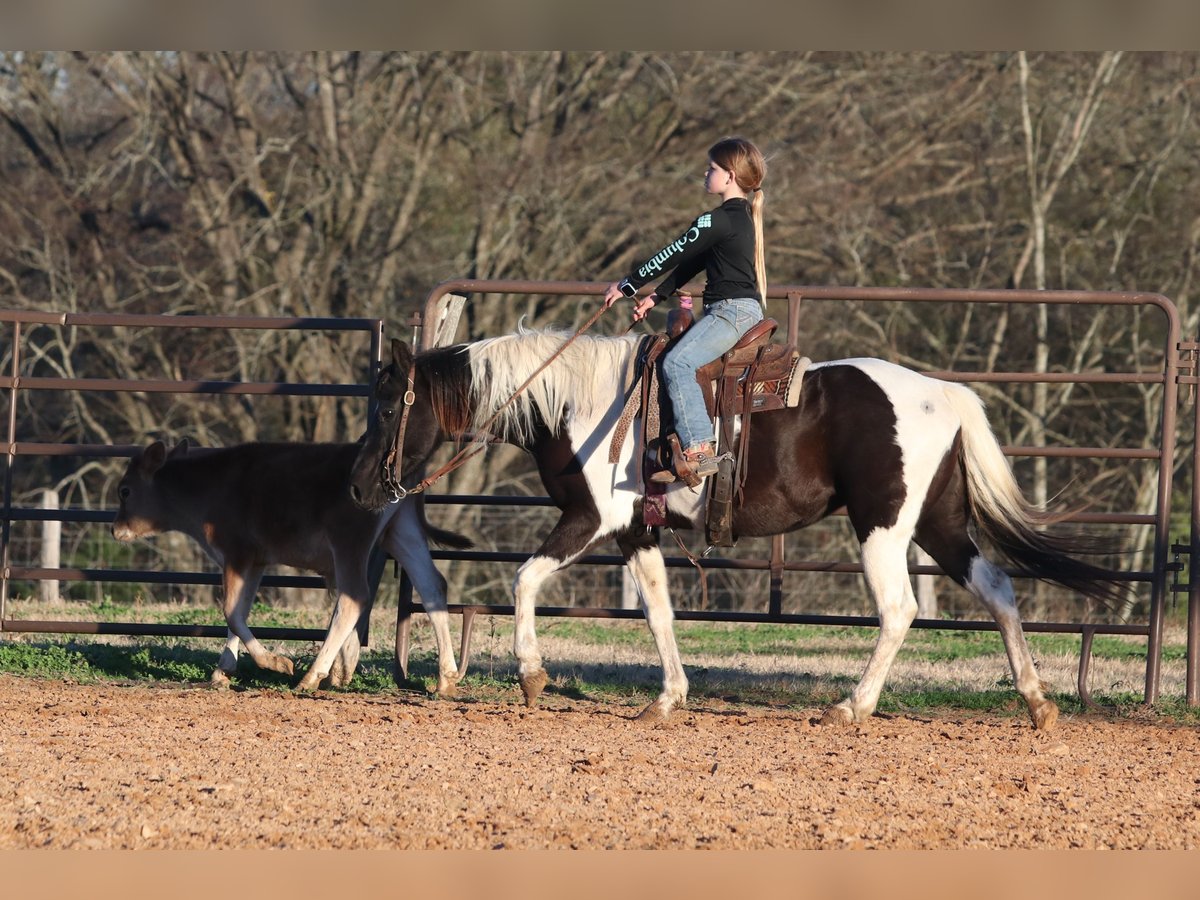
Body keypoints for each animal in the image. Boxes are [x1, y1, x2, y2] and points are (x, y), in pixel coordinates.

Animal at [348, 331, 1123, 734]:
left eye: (386, 407)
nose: (359, 486)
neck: (576, 402)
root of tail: (944, 392)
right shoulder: (635, 531)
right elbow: (658, 610)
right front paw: (669, 696)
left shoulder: (590, 518)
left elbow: (524, 576)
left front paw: (534, 675)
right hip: (939, 523)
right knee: (997, 588)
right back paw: (1037, 702)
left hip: (883, 527)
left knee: (900, 609)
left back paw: (853, 705)